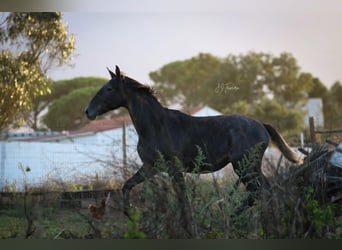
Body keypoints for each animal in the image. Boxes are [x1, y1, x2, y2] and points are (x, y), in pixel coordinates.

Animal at [85, 65, 302, 235]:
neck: (156, 125)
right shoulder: (151, 167)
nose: (88, 111)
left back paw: (243, 221)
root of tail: (262, 125)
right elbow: (127, 186)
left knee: (260, 192)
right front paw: (131, 216)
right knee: (264, 191)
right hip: (249, 167)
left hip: (245, 166)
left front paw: (189, 228)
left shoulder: (174, 169)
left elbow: (183, 199)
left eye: (109, 88)